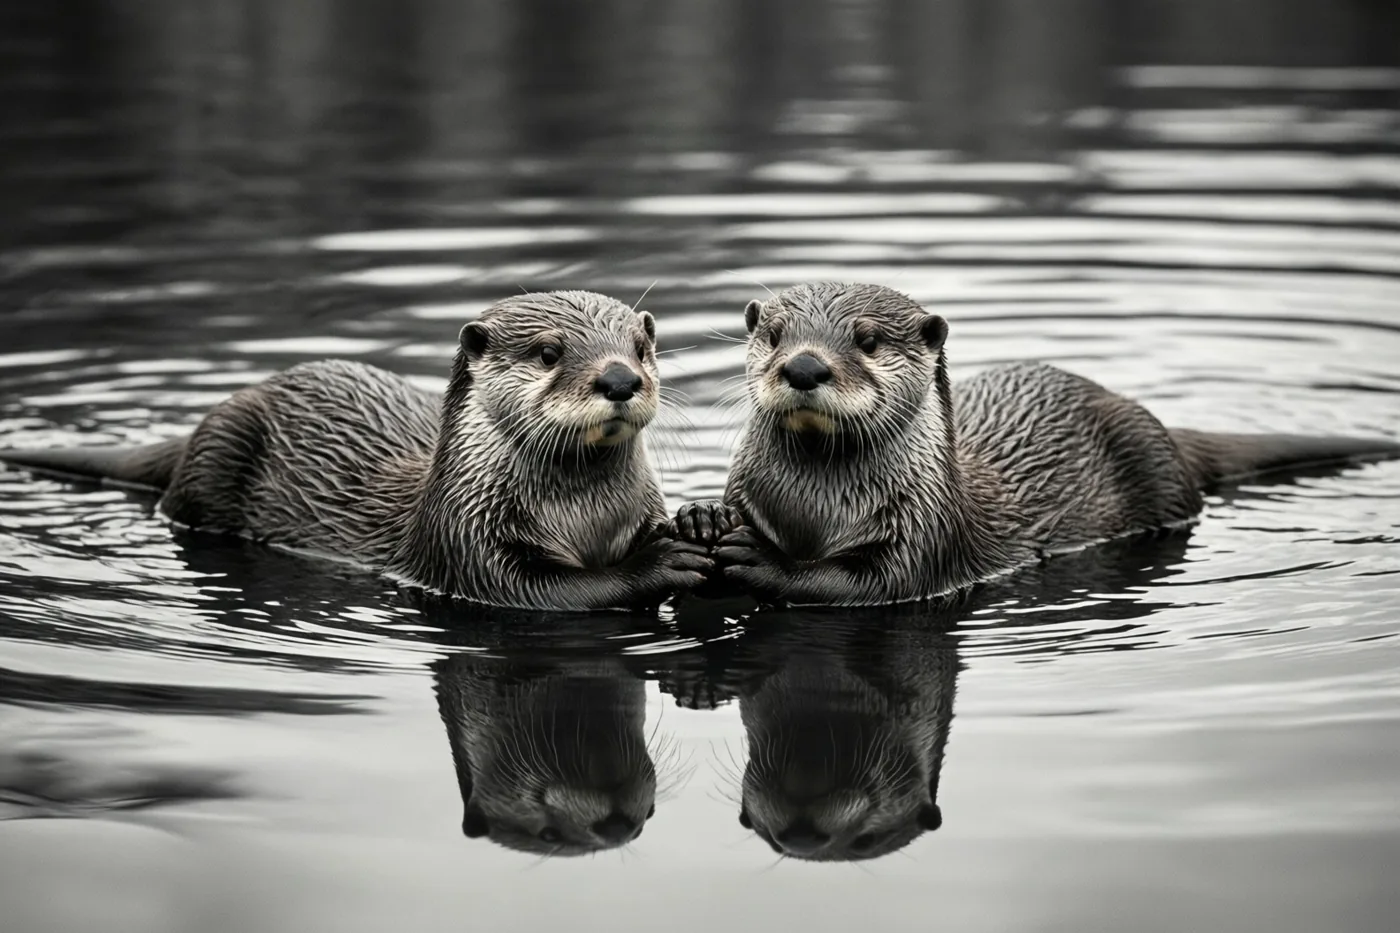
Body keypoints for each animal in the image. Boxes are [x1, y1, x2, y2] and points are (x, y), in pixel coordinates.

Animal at [0, 291, 718, 610]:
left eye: (641, 348)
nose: (620, 379)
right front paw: (658, 561)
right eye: (548, 352)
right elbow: (544, 592)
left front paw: (700, 519)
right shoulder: (462, 541)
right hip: (216, 459)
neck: (583, 517)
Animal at [677, 282, 1400, 606]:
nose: (804, 366)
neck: (815, 510)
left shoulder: (927, 537)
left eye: (868, 339)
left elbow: (864, 585)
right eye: (774, 335)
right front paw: (702, 518)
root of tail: (1162, 426)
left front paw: (762, 558)